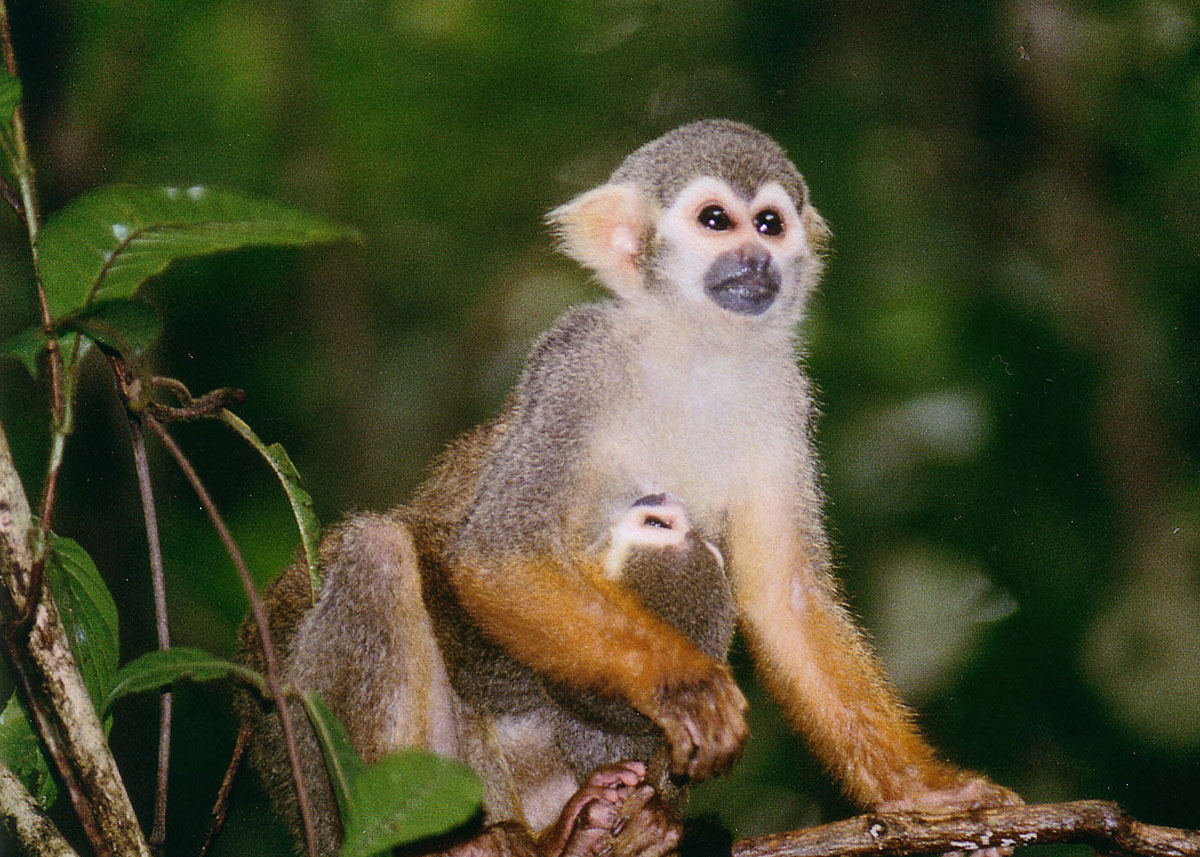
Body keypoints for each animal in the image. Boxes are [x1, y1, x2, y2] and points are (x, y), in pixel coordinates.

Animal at [238, 120, 1017, 854]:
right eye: (715, 221)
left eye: (769, 223)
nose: (756, 260)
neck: (697, 350)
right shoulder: (577, 360)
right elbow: (498, 551)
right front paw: (681, 683)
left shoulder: (783, 399)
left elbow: (785, 601)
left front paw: (926, 791)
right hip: (306, 763)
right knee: (378, 549)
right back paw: (436, 843)